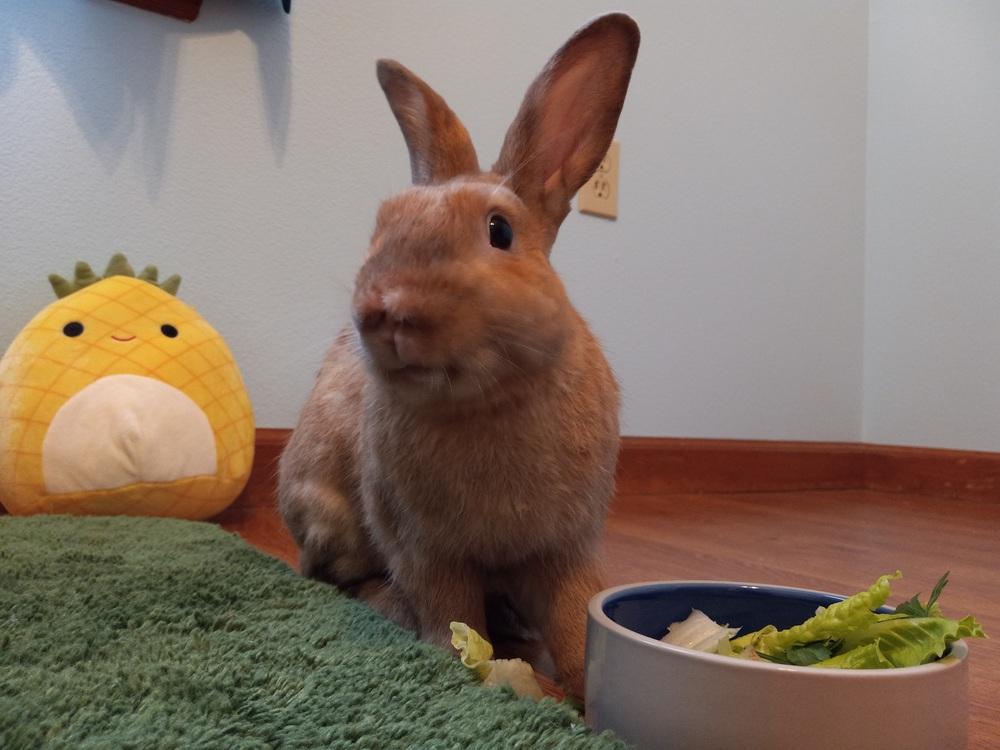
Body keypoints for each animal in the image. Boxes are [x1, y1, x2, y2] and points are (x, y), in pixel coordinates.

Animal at [278, 13, 640, 697]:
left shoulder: (566, 548)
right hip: (331, 517)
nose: (386, 310)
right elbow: (450, 611)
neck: (486, 401)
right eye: (382, 224)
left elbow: (572, 616)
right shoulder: (426, 550)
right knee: (338, 577)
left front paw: (584, 687)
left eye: (500, 231)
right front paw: (466, 666)